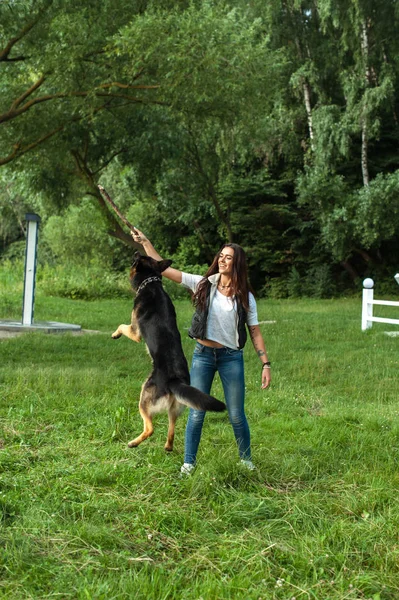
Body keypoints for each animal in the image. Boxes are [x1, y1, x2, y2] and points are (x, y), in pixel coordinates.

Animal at [112, 252, 227, 450]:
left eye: (139, 257)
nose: (135, 252)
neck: (151, 283)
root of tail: (175, 380)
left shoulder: (135, 332)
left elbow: (122, 326)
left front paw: (115, 334)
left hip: (144, 397)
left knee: (150, 428)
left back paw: (134, 443)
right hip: (176, 407)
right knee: (171, 426)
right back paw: (167, 446)